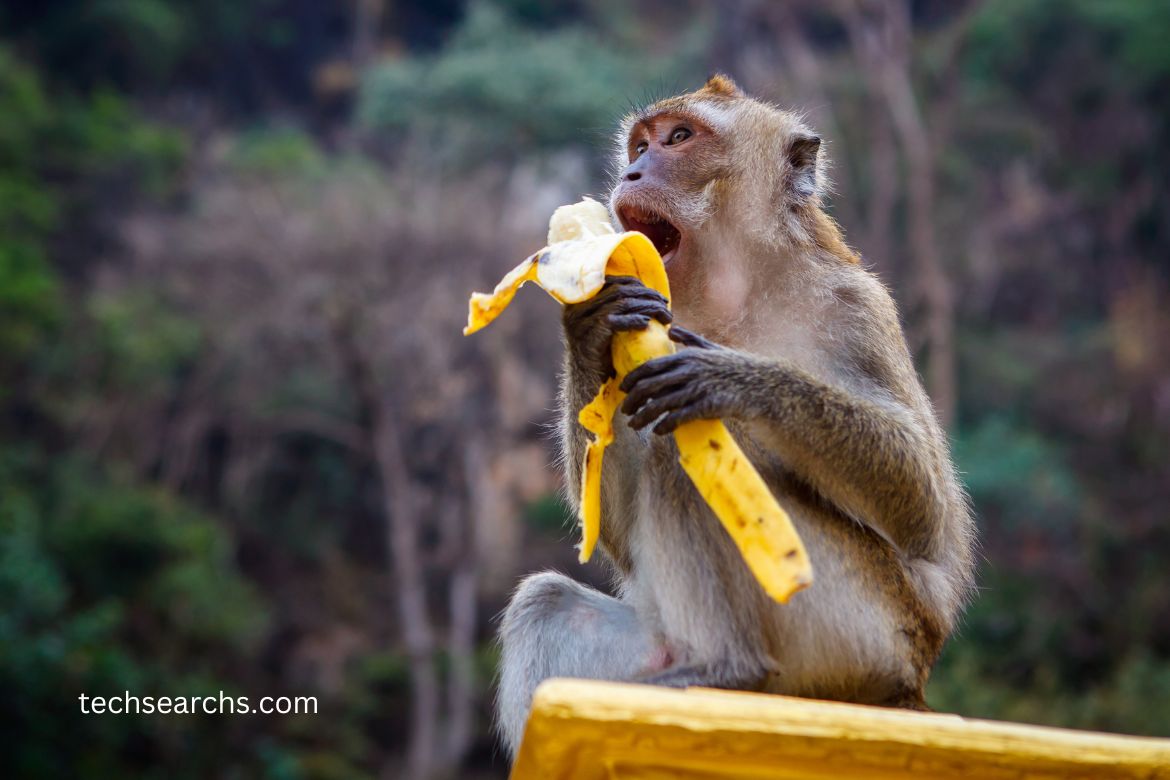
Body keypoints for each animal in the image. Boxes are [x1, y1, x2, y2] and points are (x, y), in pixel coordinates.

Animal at [495, 75, 977, 757]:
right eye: (640, 145)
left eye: (679, 138)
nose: (633, 171)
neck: (733, 289)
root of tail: (905, 690)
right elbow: (613, 530)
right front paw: (588, 321)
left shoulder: (855, 308)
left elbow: (927, 514)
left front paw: (732, 378)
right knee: (547, 600)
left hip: (856, 630)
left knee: (684, 452)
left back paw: (730, 667)